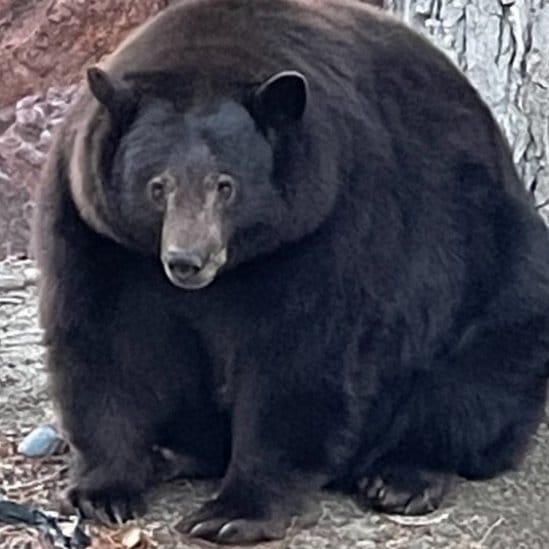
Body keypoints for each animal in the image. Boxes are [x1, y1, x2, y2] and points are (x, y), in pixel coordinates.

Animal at [34, 0, 548, 540]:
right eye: (158, 186)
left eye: (226, 185)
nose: (187, 260)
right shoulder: (98, 232)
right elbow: (107, 341)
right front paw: (104, 490)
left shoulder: (329, 220)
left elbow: (299, 356)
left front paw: (232, 512)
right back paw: (173, 452)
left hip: (497, 273)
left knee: (477, 379)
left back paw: (401, 476)